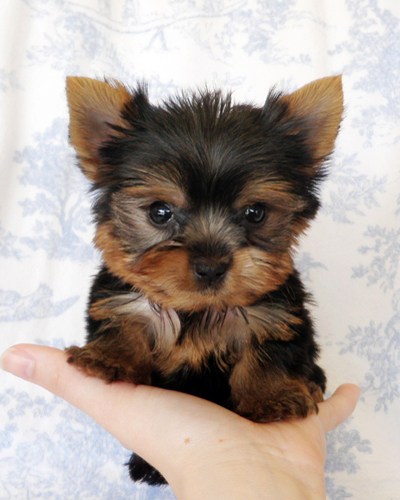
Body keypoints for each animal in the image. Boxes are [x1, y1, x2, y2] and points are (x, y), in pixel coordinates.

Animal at [65, 76, 344, 486]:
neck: (196, 308)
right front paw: (107, 357)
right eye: (159, 212)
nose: (211, 266)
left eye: (255, 212)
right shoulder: (122, 299)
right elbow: (122, 324)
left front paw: (272, 397)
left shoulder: (275, 315)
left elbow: (272, 354)